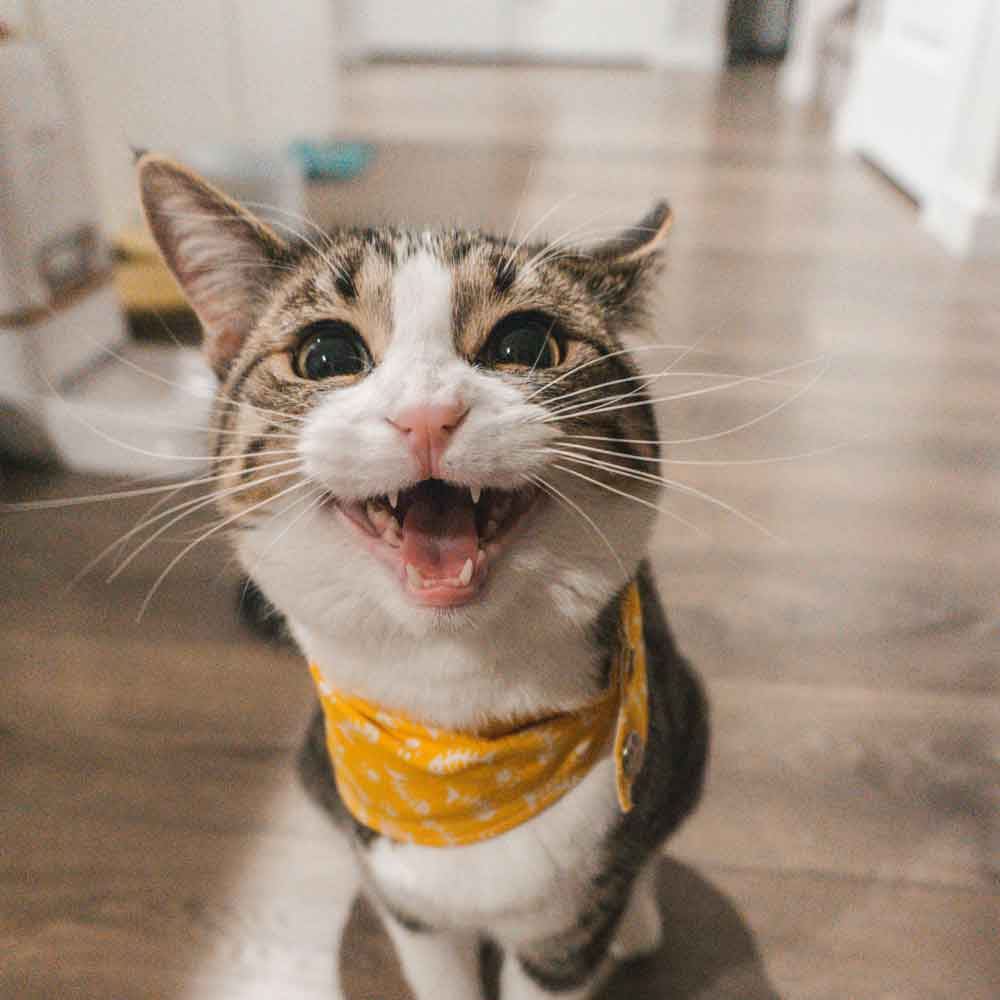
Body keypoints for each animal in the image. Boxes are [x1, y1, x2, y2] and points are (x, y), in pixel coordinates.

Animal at [137, 154, 708, 1000]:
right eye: (326, 356)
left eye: (526, 344)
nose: (428, 414)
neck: (455, 732)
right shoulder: (411, 905)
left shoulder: (566, 931)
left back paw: (638, 921)